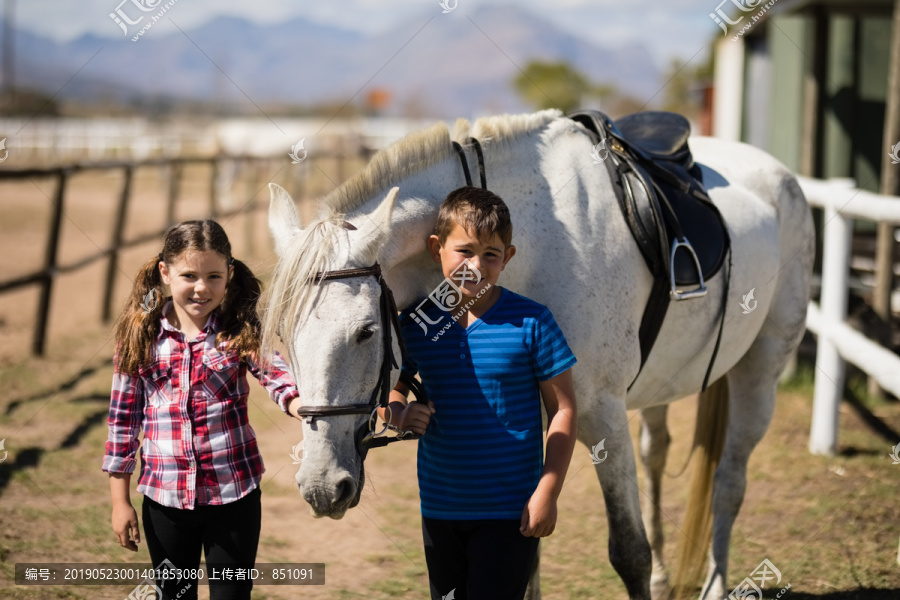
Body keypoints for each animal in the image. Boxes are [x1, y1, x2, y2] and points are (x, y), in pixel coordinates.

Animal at [262, 109, 816, 600]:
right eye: (285, 338)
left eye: (366, 332)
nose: (321, 487)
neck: (536, 244)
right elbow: (525, 558)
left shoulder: (601, 416)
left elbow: (628, 552)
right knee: (658, 453)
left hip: (760, 370)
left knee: (729, 482)